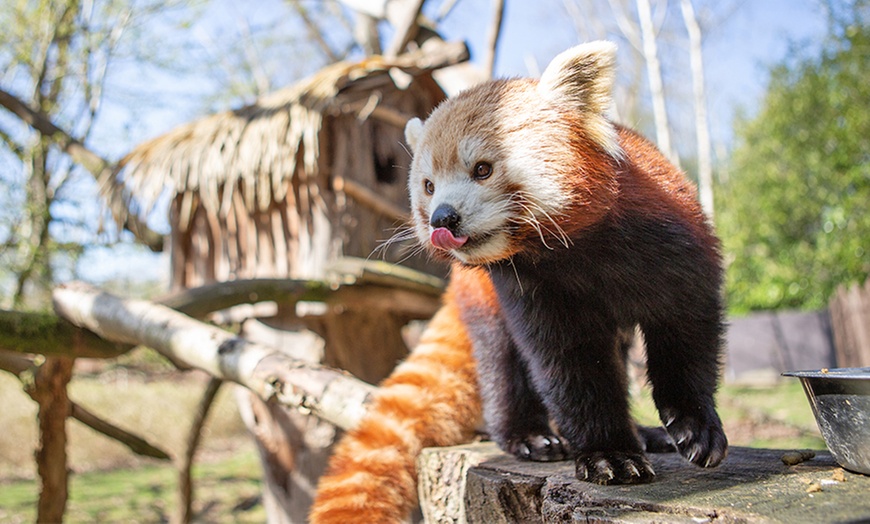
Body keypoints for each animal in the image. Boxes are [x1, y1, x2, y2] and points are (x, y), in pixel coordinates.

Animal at [310, 42, 724, 524]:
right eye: (429, 186)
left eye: (482, 169)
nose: (442, 219)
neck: (576, 253)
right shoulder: (531, 291)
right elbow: (569, 364)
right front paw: (610, 453)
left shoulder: (674, 242)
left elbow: (687, 331)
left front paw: (695, 427)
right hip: (484, 302)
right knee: (502, 362)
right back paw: (529, 435)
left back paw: (643, 433)